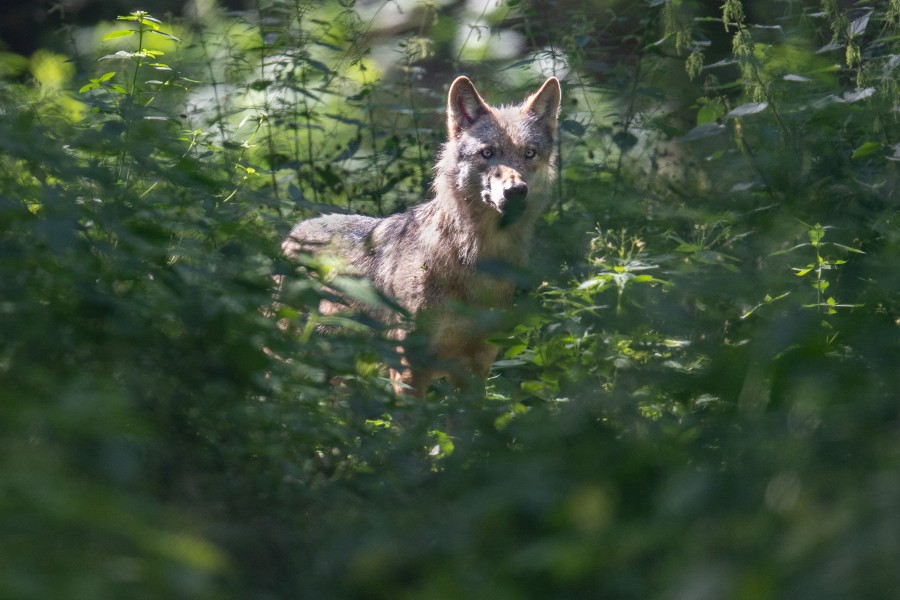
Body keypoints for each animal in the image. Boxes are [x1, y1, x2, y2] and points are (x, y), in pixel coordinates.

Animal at [284, 75, 564, 394]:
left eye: (529, 153)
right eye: (487, 153)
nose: (515, 191)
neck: (475, 261)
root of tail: (292, 232)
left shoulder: (475, 371)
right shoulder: (408, 369)